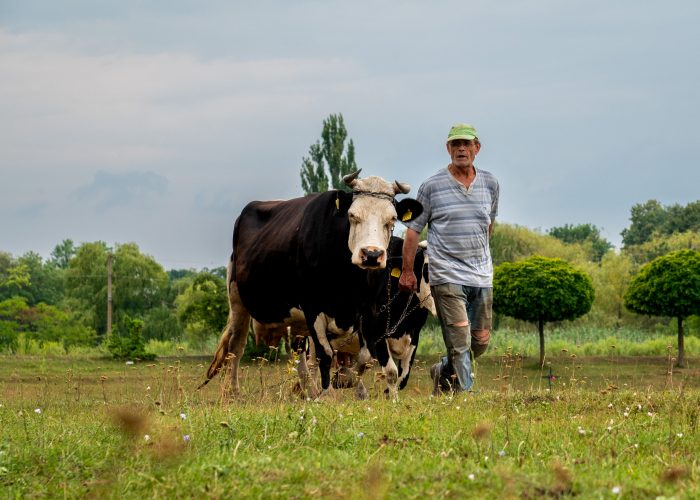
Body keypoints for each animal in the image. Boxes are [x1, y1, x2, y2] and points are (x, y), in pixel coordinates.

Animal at [202, 172, 422, 398]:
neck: (349, 281)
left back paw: (311, 390)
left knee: (301, 359)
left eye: (392, 219)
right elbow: (325, 355)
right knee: (236, 348)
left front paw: (354, 385)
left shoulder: (372, 311)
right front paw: (326, 396)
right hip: (237, 300)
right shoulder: (313, 307)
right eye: (352, 215)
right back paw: (234, 393)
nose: (371, 254)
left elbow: (370, 360)